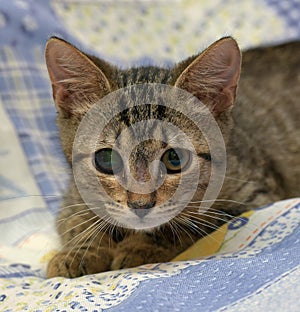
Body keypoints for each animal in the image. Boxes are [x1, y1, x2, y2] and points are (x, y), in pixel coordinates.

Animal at [45, 36, 300, 278]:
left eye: (175, 159)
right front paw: (80, 252)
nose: (140, 205)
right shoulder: (73, 198)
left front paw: (138, 247)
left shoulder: (253, 197)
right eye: (107, 160)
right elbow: (75, 222)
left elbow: (185, 226)